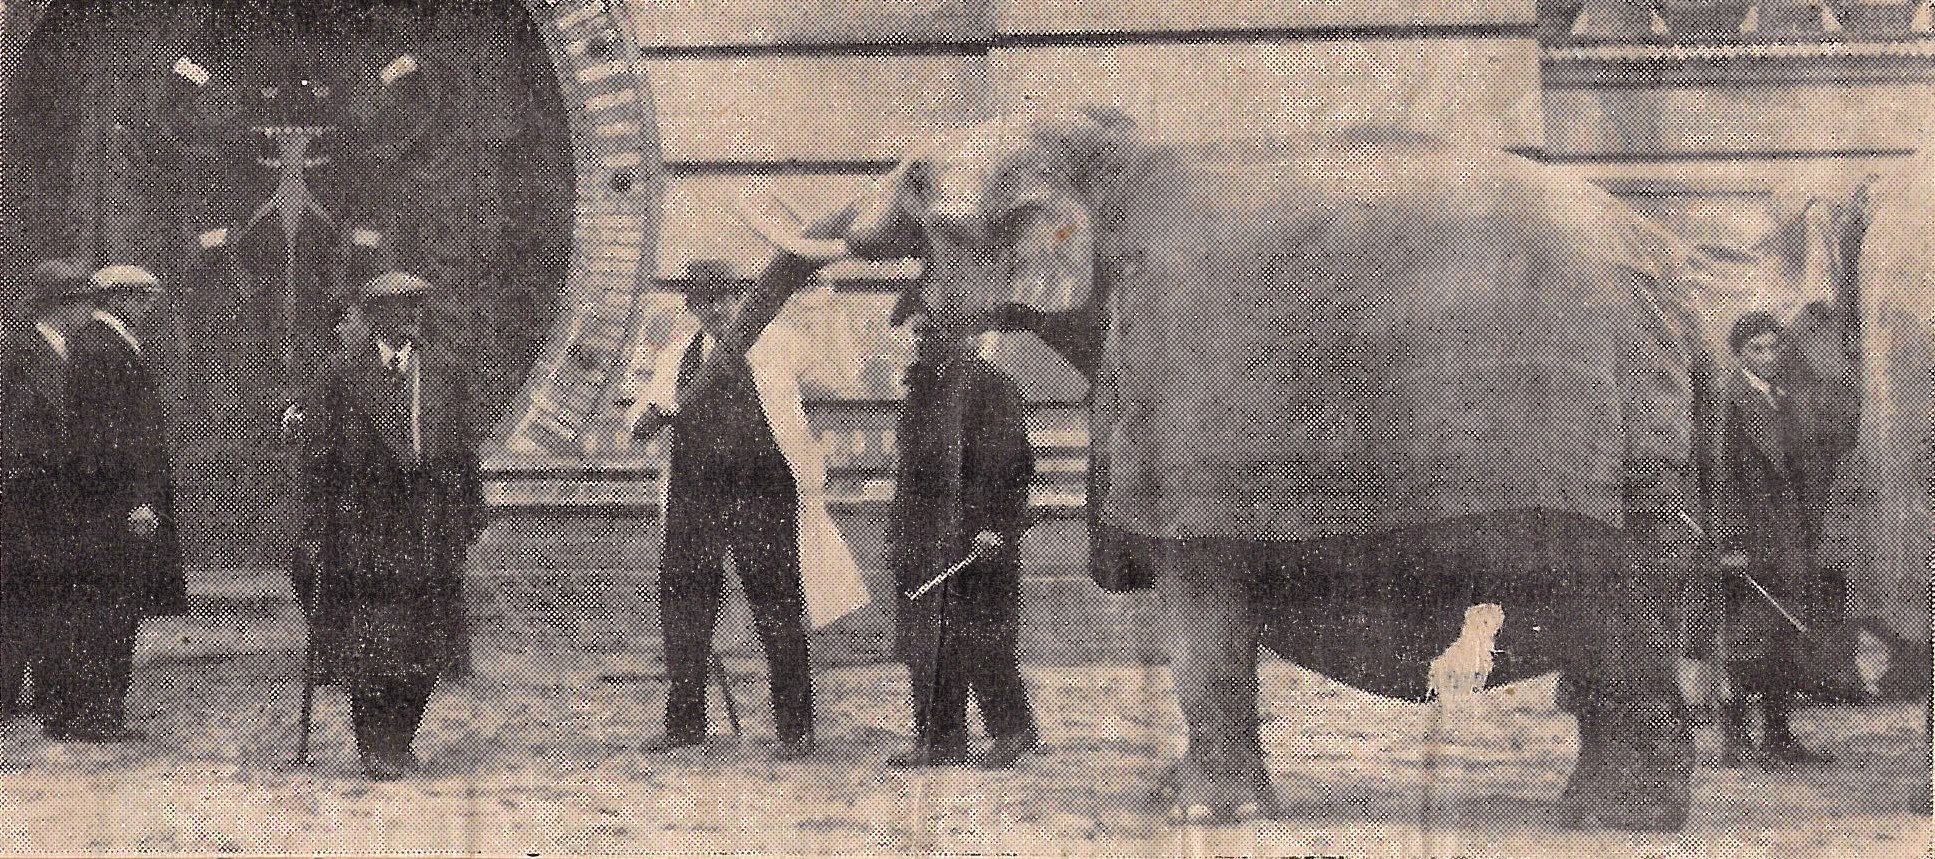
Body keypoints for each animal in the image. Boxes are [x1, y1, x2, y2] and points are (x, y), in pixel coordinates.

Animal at [723, 107, 1888, 831]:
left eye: (919, 179)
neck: (1117, 155)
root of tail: (1686, 304)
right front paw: (1179, 799)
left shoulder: (1179, 395)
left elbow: (1200, 608)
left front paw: (1201, 811)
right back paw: (1590, 810)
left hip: (1620, 460)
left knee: (1619, 619)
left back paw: (1613, 820)